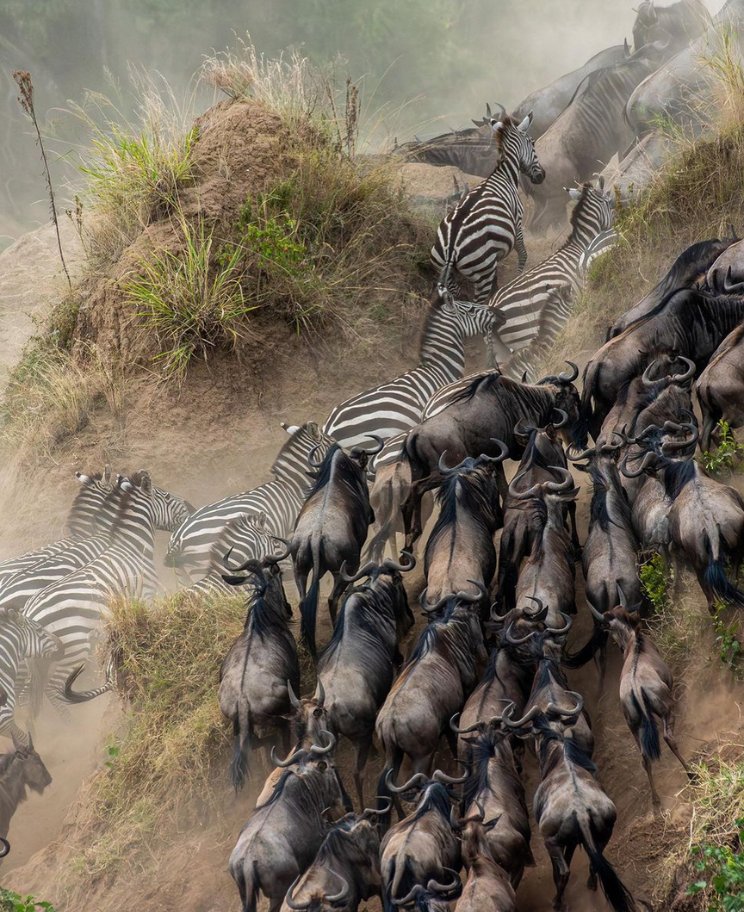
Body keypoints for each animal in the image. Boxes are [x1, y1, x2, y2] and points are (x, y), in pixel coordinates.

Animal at [430, 110, 545, 305]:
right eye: (533, 143)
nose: (541, 176)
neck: (504, 174)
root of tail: (451, 248)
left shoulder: (493, 258)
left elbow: (496, 277)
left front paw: (497, 291)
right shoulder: (517, 222)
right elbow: (523, 253)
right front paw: (518, 278)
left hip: (449, 273)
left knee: (461, 299)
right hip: (480, 270)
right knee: (475, 304)